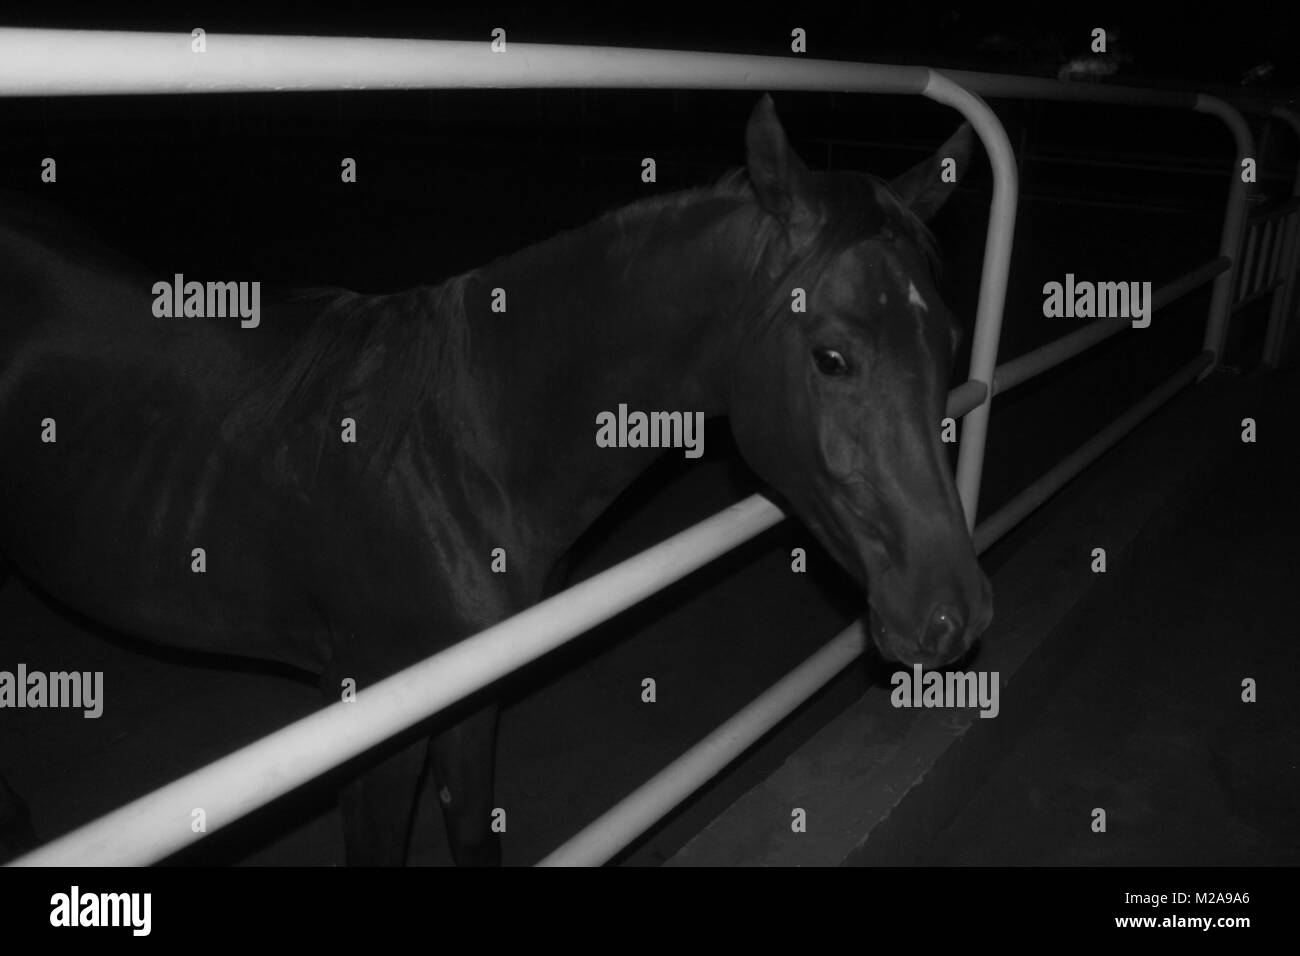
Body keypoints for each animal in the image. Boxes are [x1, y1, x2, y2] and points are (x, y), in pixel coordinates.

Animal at [0, 94, 992, 865]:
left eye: (948, 339)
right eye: (832, 356)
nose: (953, 615)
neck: (455, 452)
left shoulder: (472, 700)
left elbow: (476, 836)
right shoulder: (373, 735)